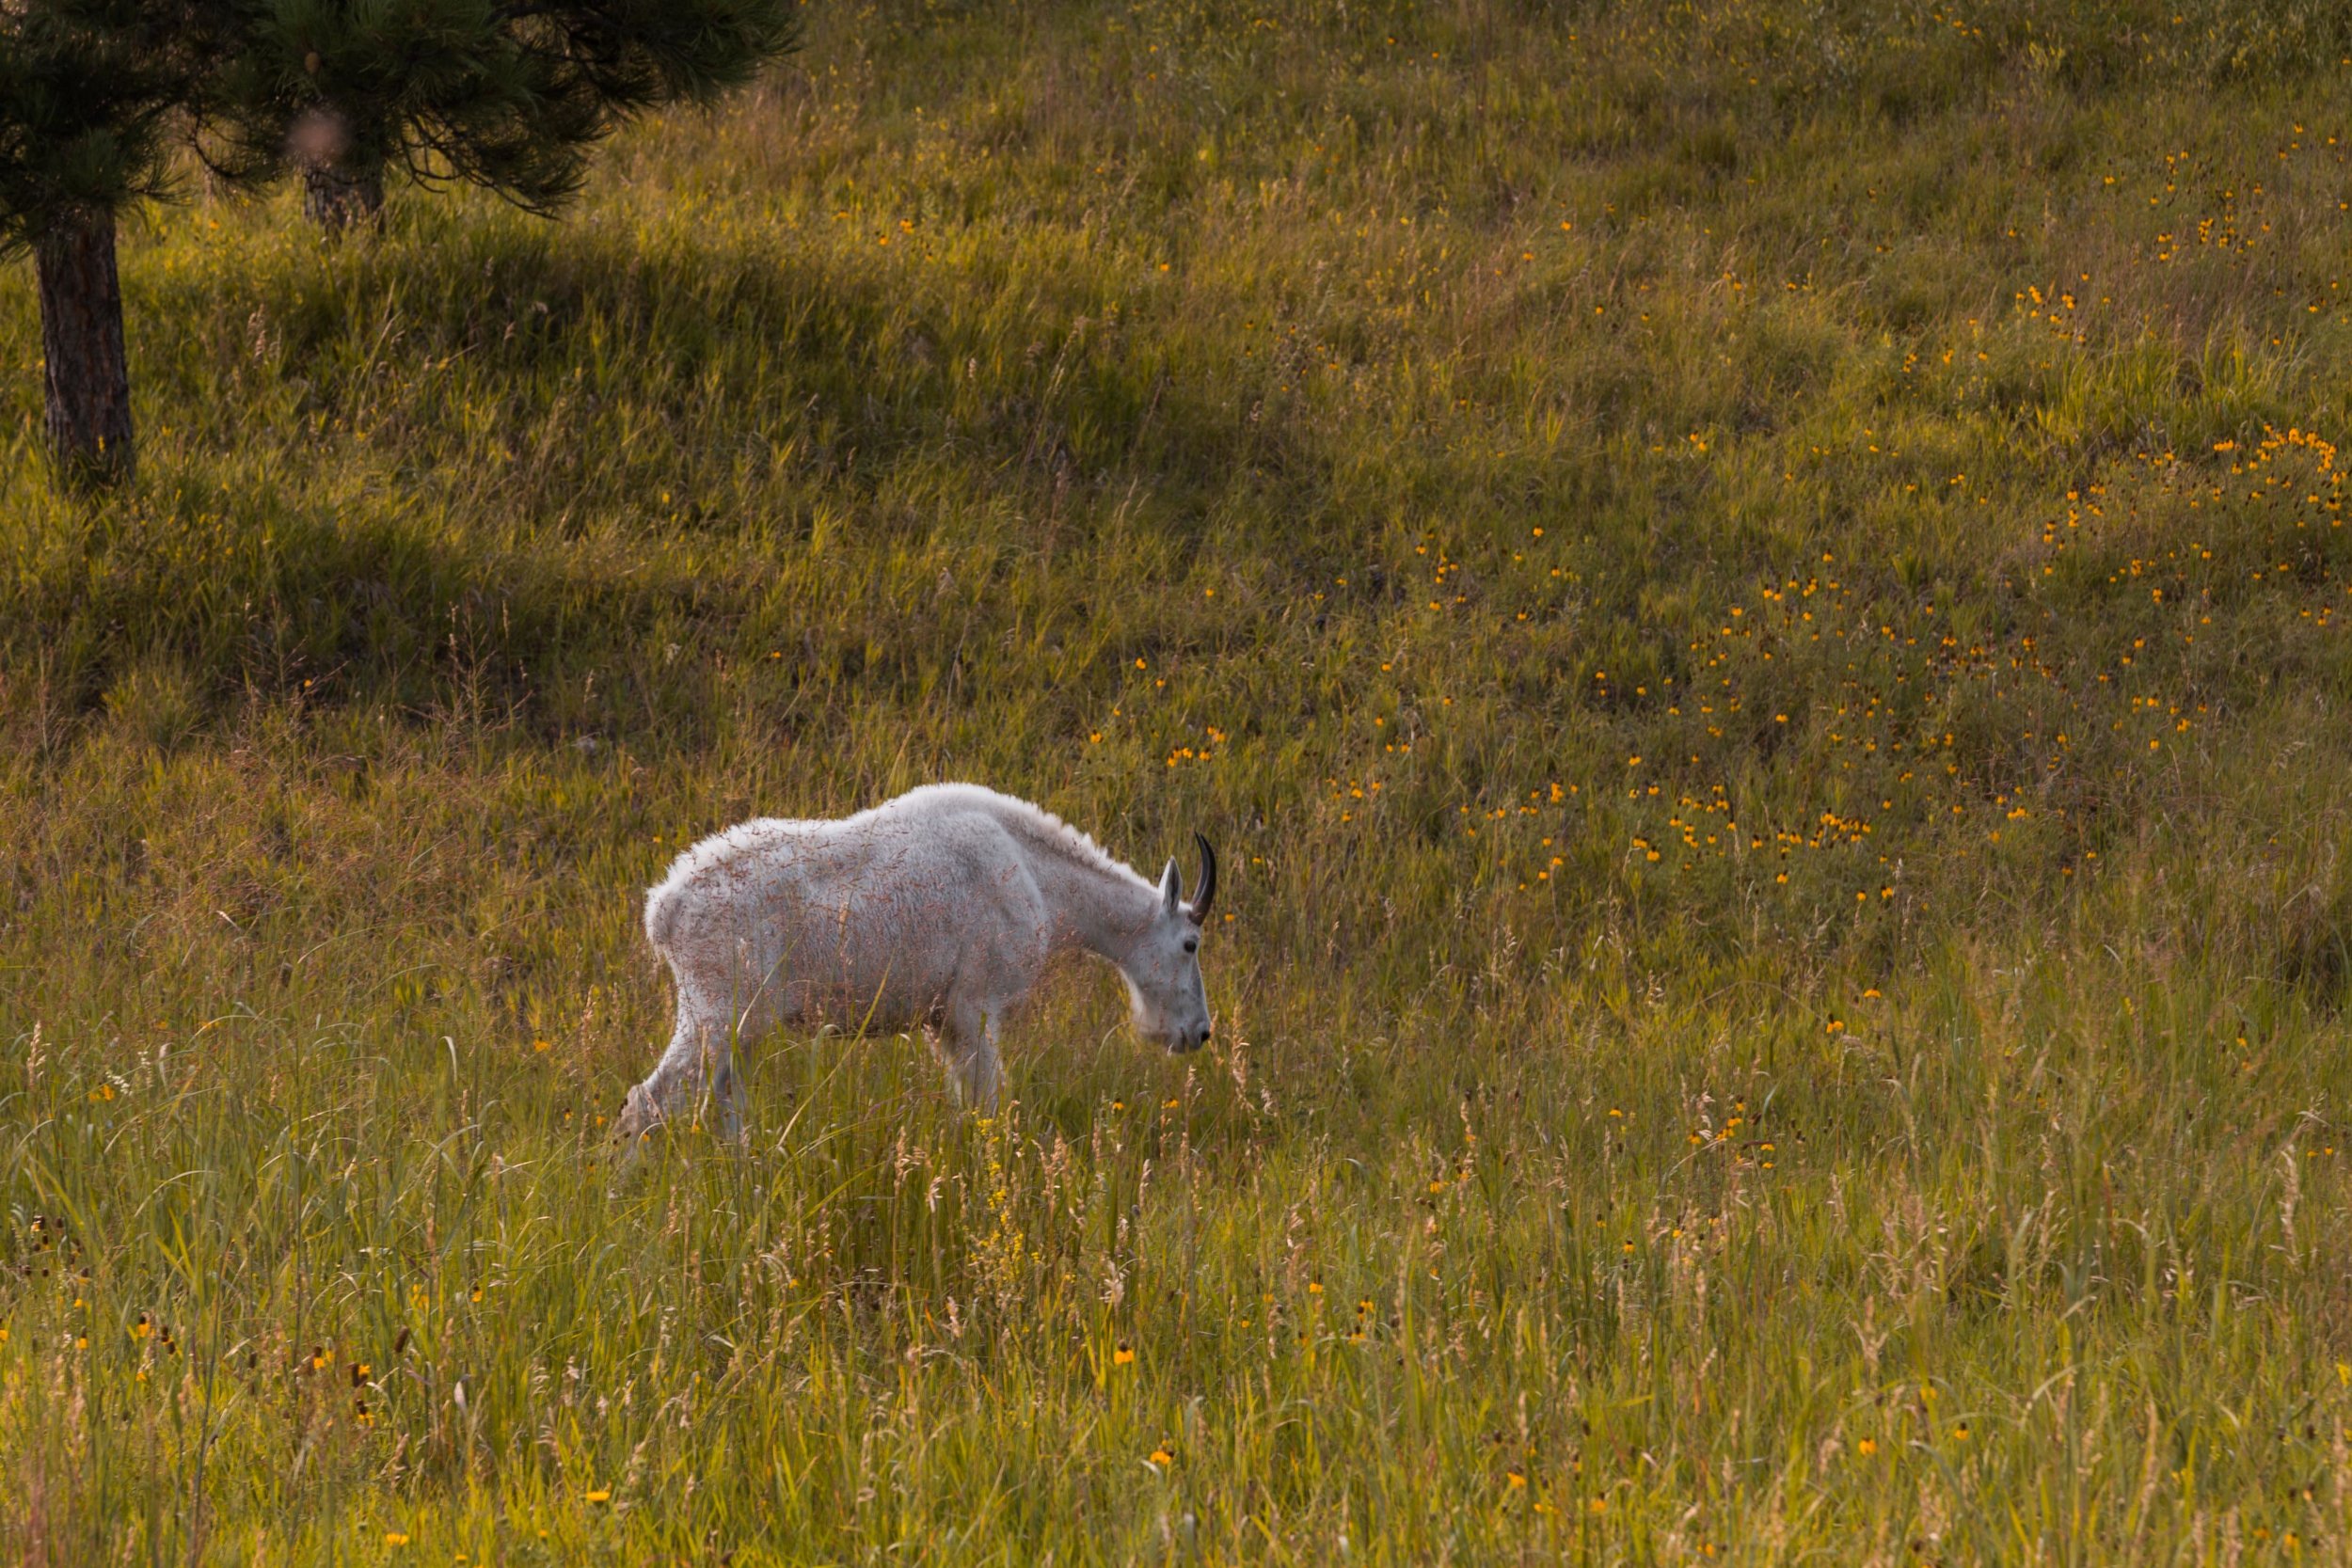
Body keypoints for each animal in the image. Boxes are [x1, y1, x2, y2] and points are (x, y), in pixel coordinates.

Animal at [616, 780, 1223, 1142]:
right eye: (1190, 944)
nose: (1198, 1033)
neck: (1039, 878)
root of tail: (664, 908)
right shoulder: (976, 1009)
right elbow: (990, 1103)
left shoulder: (944, 1024)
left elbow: (967, 1105)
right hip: (715, 1012)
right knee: (645, 1101)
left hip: (738, 1025)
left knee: (723, 1106)